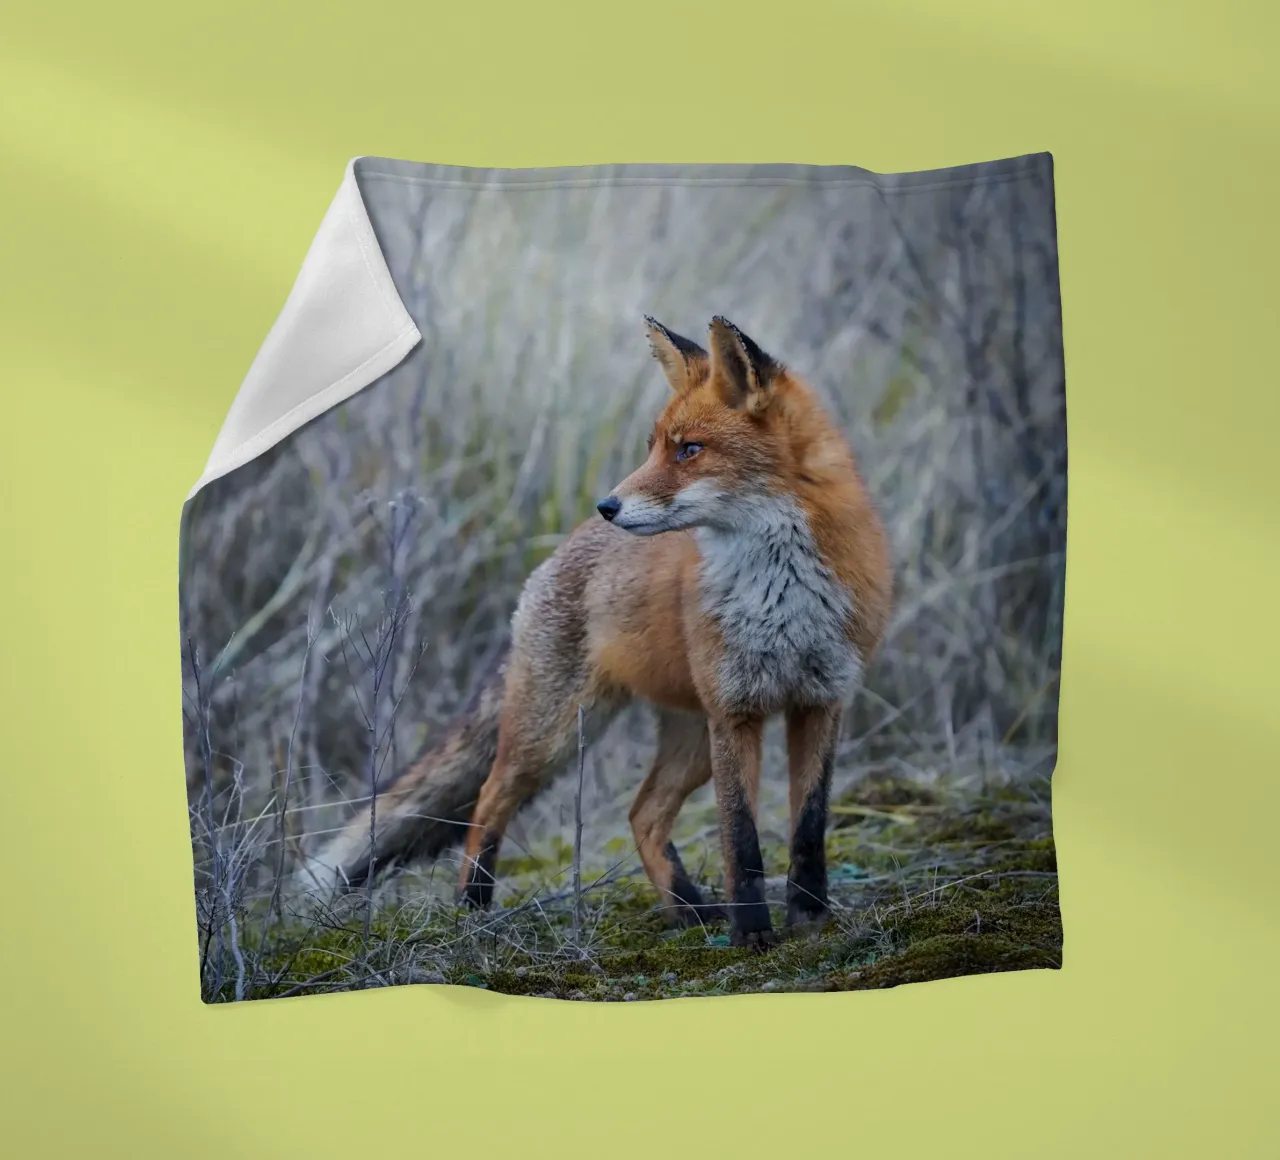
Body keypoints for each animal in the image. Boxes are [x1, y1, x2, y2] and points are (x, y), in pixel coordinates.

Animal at [299, 316, 893, 949]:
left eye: (689, 449)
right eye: (654, 446)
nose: (608, 504)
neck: (782, 593)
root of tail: (560, 550)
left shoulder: (821, 700)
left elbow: (808, 827)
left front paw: (810, 919)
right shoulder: (736, 712)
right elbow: (742, 841)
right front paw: (753, 934)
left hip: (690, 739)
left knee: (642, 814)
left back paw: (688, 909)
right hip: (555, 734)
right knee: (489, 800)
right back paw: (473, 909)